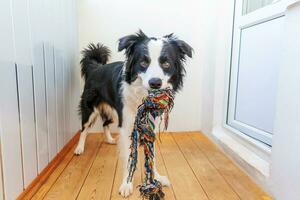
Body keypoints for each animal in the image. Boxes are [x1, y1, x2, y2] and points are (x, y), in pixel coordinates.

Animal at [75, 30, 192, 198]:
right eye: (143, 62)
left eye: (166, 63)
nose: (155, 83)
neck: (142, 97)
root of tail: (96, 67)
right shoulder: (126, 126)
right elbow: (129, 158)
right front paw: (126, 184)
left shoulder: (149, 125)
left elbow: (152, 157)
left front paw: (157, 177)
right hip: (90, 108)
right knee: (84, 128)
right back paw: (79, 148)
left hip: (113, 112)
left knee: (105, 123)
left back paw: (110, 139)